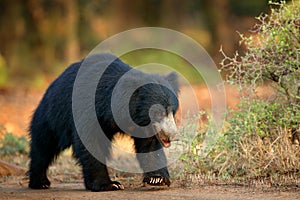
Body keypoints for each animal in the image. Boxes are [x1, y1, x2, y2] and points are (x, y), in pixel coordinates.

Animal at [28, 53, 179, 191]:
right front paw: (109, 184)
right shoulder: (89, 108)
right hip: (53, 115)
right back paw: (40, 182)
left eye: (172, 112)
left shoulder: (144, 127)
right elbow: (90, 142)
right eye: (158, 113)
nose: (171, 135)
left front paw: (157, 179)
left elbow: (150, 146)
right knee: (44, 146)